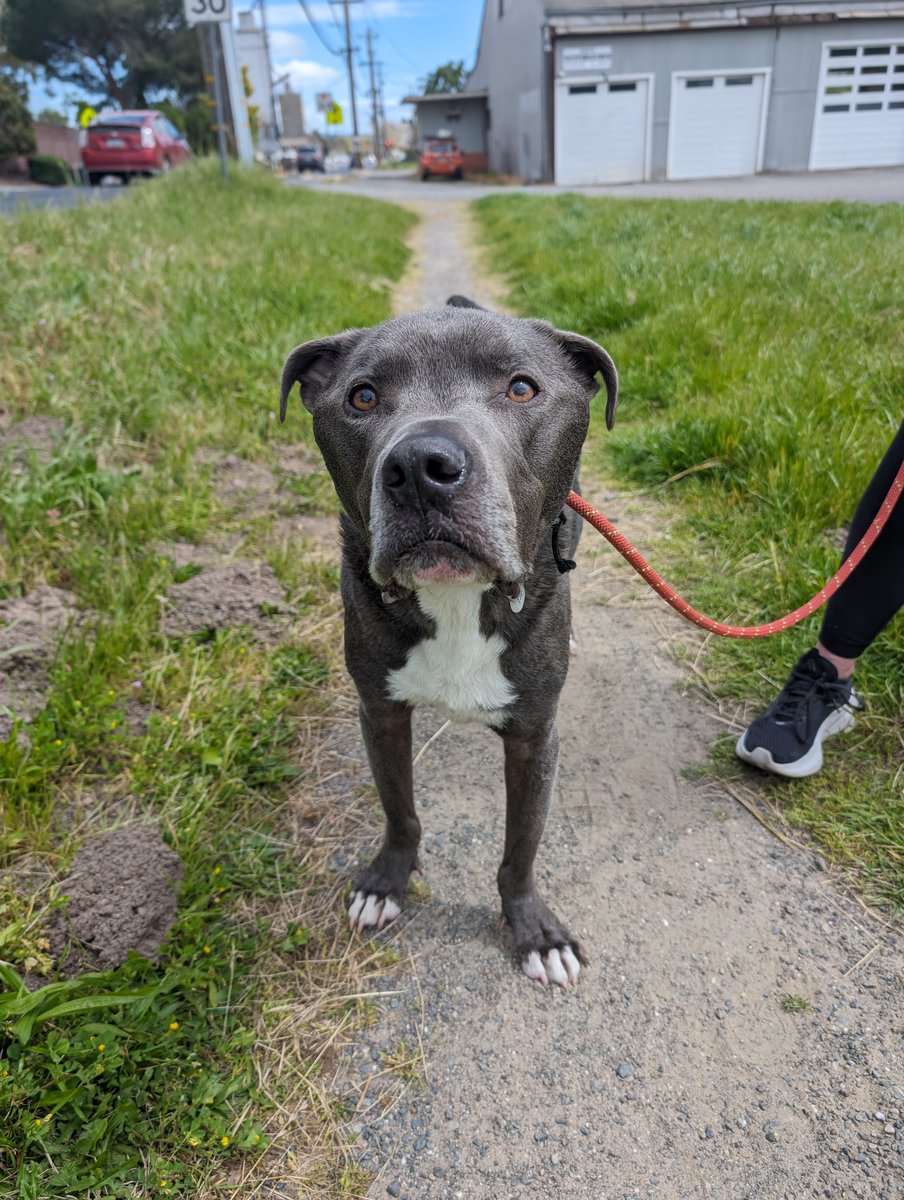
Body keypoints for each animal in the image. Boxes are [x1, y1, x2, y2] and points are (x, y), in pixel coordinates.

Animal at [282, 297, 619, 984]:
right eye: (362, 396)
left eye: (521, 388)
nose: (419, 468)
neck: (458, 599)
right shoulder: (380, 712)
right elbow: (399, 810)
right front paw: (387, 882)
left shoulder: (534, 736)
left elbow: (520, 848)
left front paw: (534, 929)